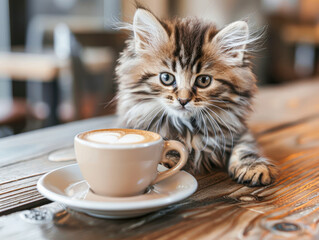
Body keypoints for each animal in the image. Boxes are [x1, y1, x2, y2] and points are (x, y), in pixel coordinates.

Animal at [116, 6, 278, 186]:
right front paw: (169, 160)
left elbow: (246, 147)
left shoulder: (238, 132)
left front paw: (253, 166)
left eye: (203, 80)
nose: (183, 100)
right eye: (166, 78)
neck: (188, 127)